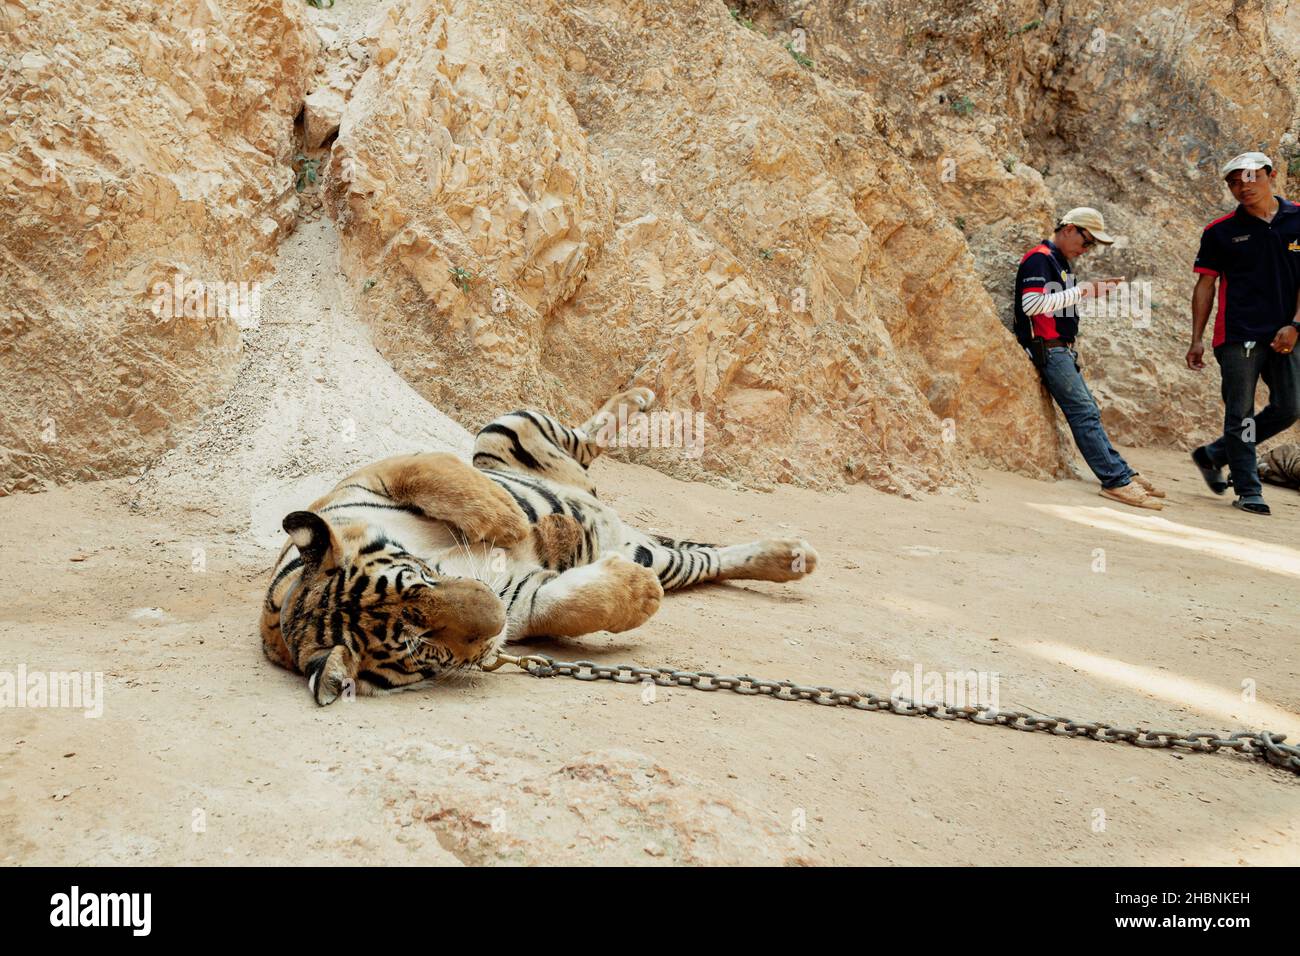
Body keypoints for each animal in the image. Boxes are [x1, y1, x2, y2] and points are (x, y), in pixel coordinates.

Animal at [258, 385, 816, 707]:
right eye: (423, 648)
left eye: (422, 578)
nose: (492, 623)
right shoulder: (520, 599)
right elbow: (570, 604)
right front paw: (639, 592)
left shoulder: (375, 476)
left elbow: (444, 479)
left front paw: (514, 525)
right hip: (662, 555)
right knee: (710, 558)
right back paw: (794, 557)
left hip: (503, 429)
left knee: (581, 441)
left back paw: (637, 397)